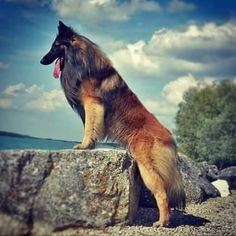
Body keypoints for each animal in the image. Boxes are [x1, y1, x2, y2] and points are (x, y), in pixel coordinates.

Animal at [40, 21, 185, 227]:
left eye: (55, 46)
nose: (41, 60)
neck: (81, 58)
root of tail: (170, 138)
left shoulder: (92, 103)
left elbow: (89, 127)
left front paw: (83, 145)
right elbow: (90, 128)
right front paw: (89, 145)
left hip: (147, 169)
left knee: (162, 194)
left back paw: (161, 223)